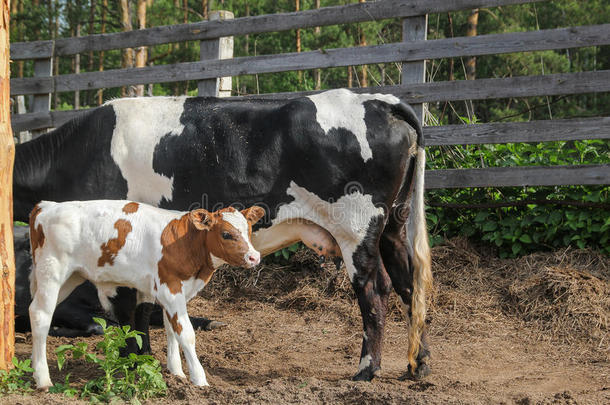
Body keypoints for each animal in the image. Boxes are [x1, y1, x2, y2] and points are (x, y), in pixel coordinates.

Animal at [28, 200, 262, 388]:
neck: (185, 242)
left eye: (249, 230)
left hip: (72, 277)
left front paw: (176, 373)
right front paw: (199, 379)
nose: (254, 257)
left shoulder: (174, 293)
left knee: (34, 310)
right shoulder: (171, 289)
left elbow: (171, 329)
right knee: (41, 315)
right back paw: (43, 379)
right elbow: (186, 333)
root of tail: (47, 206)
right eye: (226, 234)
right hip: (52, 272)